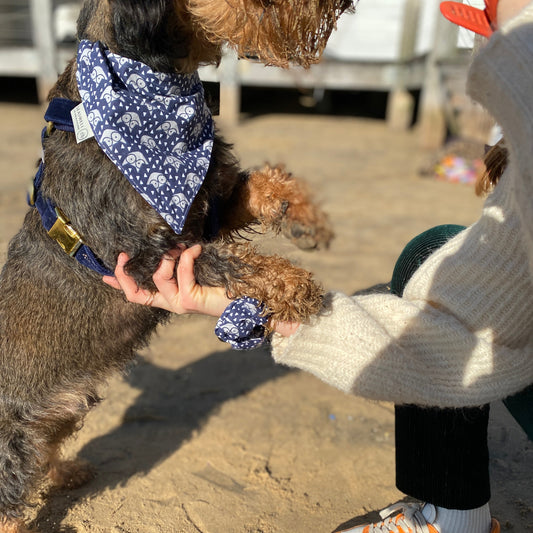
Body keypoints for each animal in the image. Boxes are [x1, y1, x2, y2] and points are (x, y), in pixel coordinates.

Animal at [0, 2, 352, 528]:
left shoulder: (209, 207)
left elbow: (261, 187)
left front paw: (305, 216)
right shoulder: (146, 256)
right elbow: (233, 263)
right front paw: (296, 286)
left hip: (59, 410)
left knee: (47, 449)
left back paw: (65, 473)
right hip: (11, 443)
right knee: (10, 500)